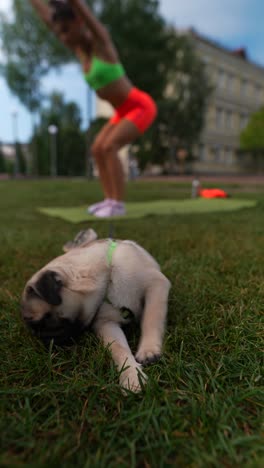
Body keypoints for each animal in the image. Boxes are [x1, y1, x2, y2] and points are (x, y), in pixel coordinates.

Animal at [21, 229, 171, 392]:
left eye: (43, 321)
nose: (40, 338)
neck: (108, 275)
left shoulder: (155, 285)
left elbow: (151, 319)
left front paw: (148, 350)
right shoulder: (106, 323)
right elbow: (119, 349)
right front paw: (131, 376)